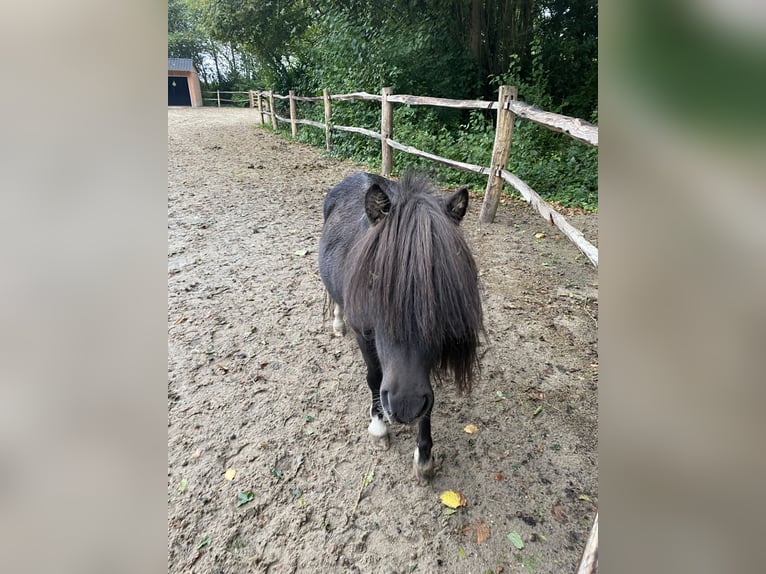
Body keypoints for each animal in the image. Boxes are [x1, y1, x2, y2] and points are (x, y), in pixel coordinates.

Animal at [320, 173, 486, 484]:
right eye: (374, 283)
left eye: (444, 289)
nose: (405, 406)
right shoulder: (364, 334)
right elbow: (374, 377)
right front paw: (378, 427)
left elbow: (428, 399)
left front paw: (424, 456)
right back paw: (337, 322)